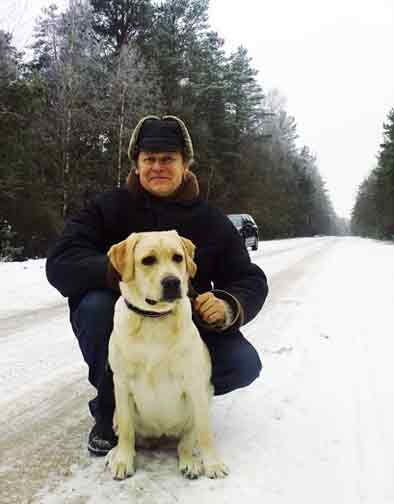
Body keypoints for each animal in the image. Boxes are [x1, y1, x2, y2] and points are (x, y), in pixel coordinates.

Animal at [104, 230, 229, 478]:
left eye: (178, 257)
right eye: (148, 260)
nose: (172, 282)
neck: (154, 318)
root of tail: (160, 435)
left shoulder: (195, 384)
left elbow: (204, 432)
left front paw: (212, 464)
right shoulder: (121, 382)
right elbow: (126, 429)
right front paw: (123, 460)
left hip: (202, 400)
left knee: (186, 442)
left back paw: (190, 462)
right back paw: (114, 453)